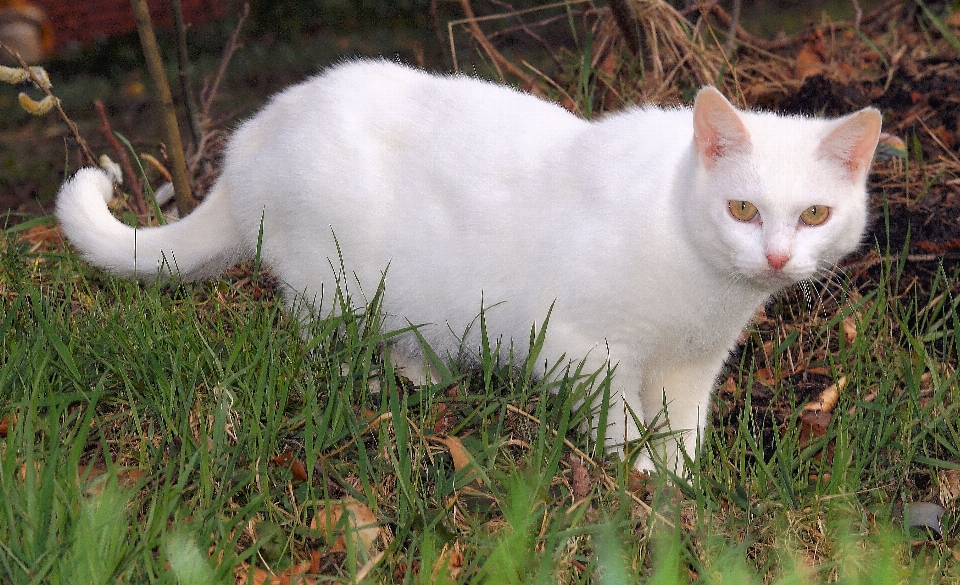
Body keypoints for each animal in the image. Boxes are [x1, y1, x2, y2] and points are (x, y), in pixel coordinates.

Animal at [56, 59, 880, 472]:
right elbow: (620, 425)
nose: (776, 256)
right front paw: (636, 484)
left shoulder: (693, 368)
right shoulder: (584, 348)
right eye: (743, 209)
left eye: (814, 216)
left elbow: (682, 434)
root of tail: (250, 138)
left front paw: (681, 496)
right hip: (331, 287)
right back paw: (365, 386)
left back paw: (423, 382)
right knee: (319, 343)